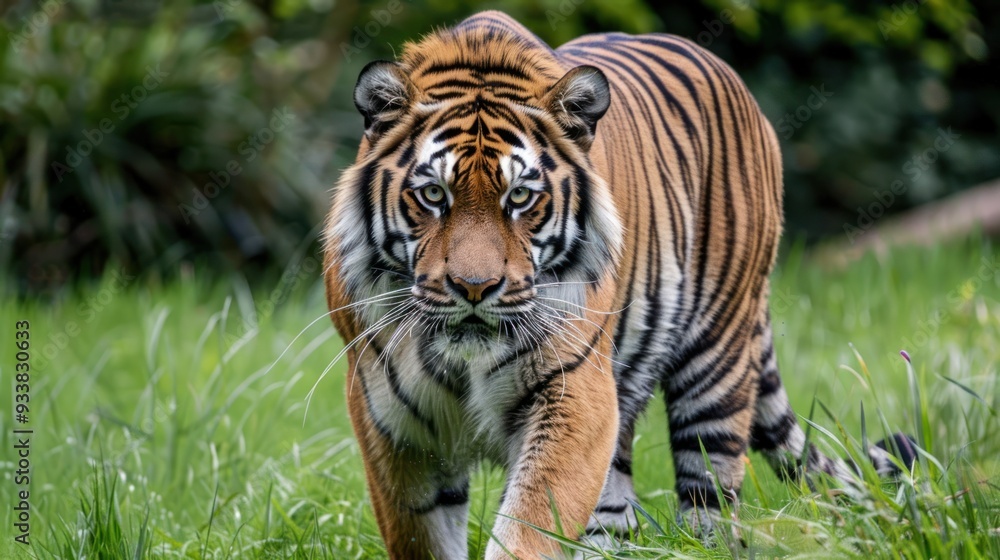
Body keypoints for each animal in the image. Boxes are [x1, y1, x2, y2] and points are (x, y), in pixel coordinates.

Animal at [322, 11, 913, 559]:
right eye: (432, 195)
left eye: (520, 197)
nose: (474, 288)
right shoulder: (389, 421)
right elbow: (424, 533)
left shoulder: (573, 393)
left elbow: (529, 528)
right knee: (616, 519)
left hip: (714, 366)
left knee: (712, 503)